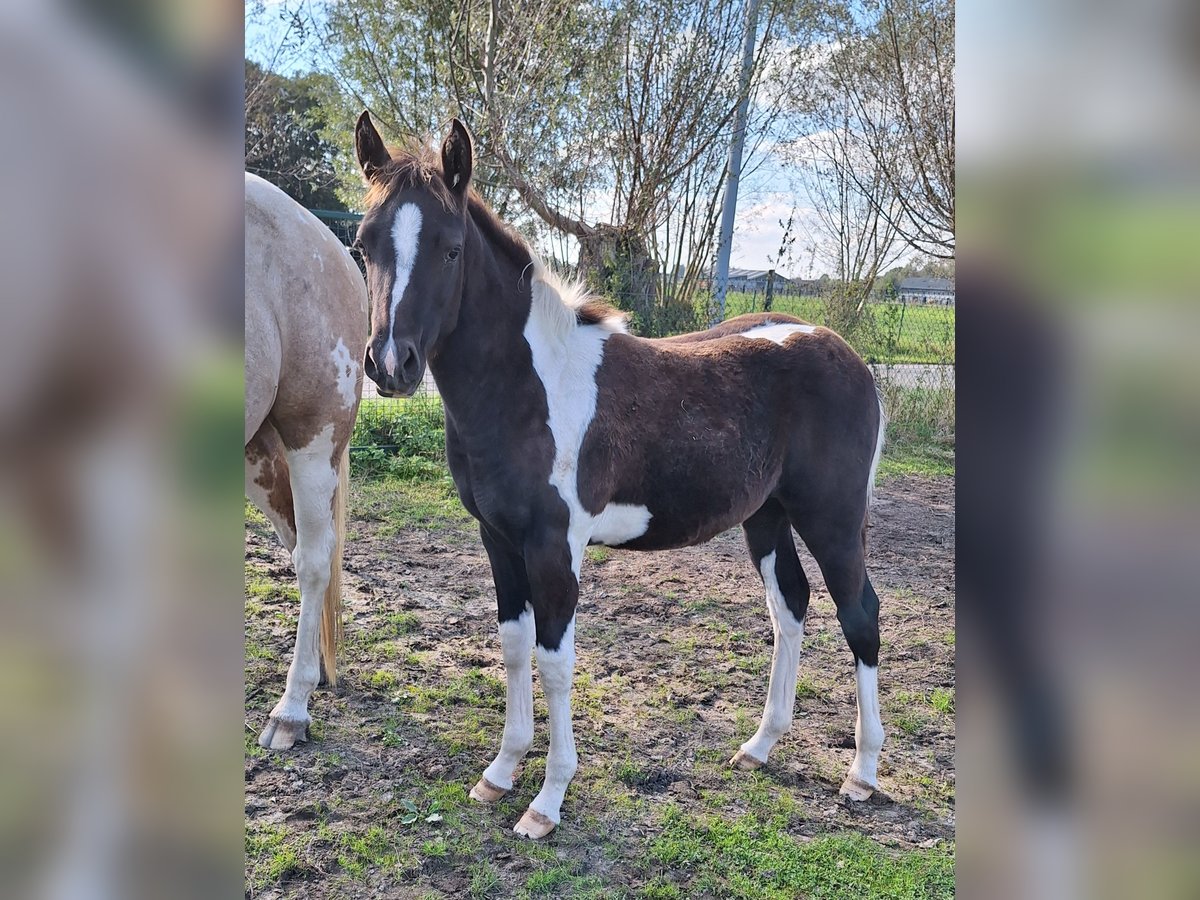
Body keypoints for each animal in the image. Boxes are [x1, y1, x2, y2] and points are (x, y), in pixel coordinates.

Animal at [350, 116, 888, 844]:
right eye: (363, 244)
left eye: (452, 249)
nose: (390, 363)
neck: (528, 388)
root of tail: (844, 354)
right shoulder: (498, 539)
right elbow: (514, 648)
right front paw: (500, 773)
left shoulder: (555, 546)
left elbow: (555, 662)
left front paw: (546, 802)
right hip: (767, 516)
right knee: (791, 608)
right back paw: (760, 746)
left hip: (832, 517)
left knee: (860, 614)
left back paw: (862, 774)